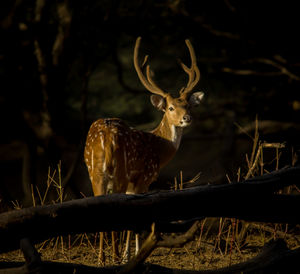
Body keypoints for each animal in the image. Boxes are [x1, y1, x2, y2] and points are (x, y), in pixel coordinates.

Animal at [84, 37, 204, 264]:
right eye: (171, 108)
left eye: (188, 106)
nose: (187, 118)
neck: (158, 147)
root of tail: (106, 136)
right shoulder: (144, 178)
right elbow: (136, 223)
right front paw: (131, 256)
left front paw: (129, 255)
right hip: (120, 173)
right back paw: (114, 259)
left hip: (95, 172)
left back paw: (102, 260)